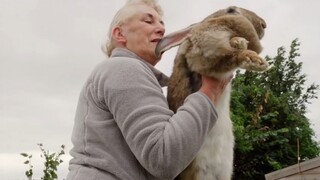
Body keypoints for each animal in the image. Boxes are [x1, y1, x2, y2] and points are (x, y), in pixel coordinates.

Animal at [155, 5, 270, 180]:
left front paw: (241, 44)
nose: (263, 24)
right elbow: (228, 58)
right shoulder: (201, 57)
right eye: (231, 9)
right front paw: (250, 54)